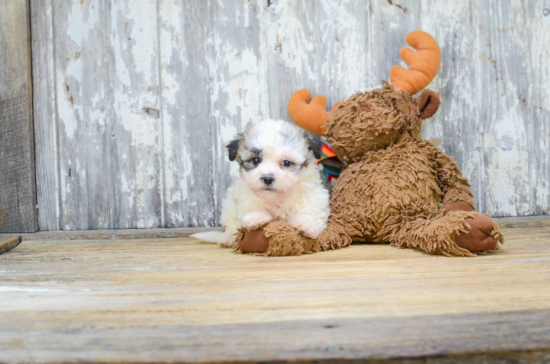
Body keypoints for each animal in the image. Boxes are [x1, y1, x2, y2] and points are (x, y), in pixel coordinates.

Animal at [193, 119, 330, 247]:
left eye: (286, 163)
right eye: (255, 160)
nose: (267, 178)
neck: (277, 197)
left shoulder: (314, 195)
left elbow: (310, 210)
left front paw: (307, 225)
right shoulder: (245, 196)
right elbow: (253, 205)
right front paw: (254, 217)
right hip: (228, 207)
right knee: (230, 223)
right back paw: (228, 238)